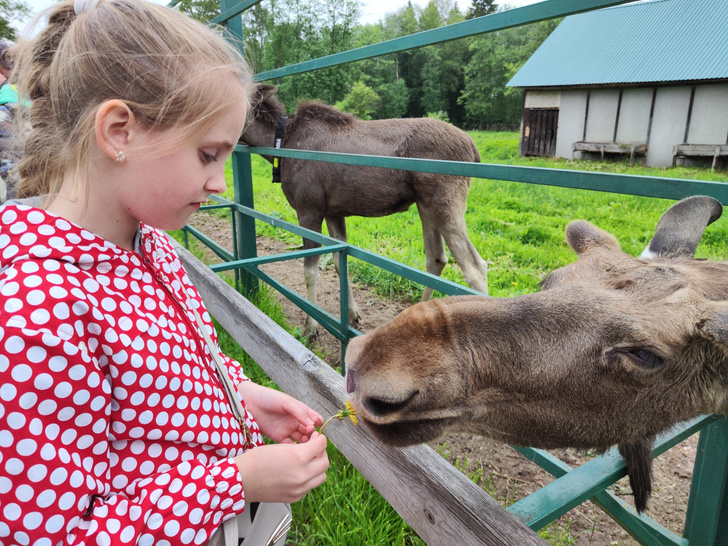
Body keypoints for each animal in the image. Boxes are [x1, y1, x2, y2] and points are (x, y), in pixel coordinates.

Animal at [240, 84, 490, 340]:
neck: (277, 146)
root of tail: (474, 149)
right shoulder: (334, 211)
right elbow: (339, 260)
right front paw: (352, 315)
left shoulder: (308, 208)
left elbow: (310, 270)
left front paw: (311, 327)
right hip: (425, 205)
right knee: (436, 259)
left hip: (445, 202)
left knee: (475, 268)